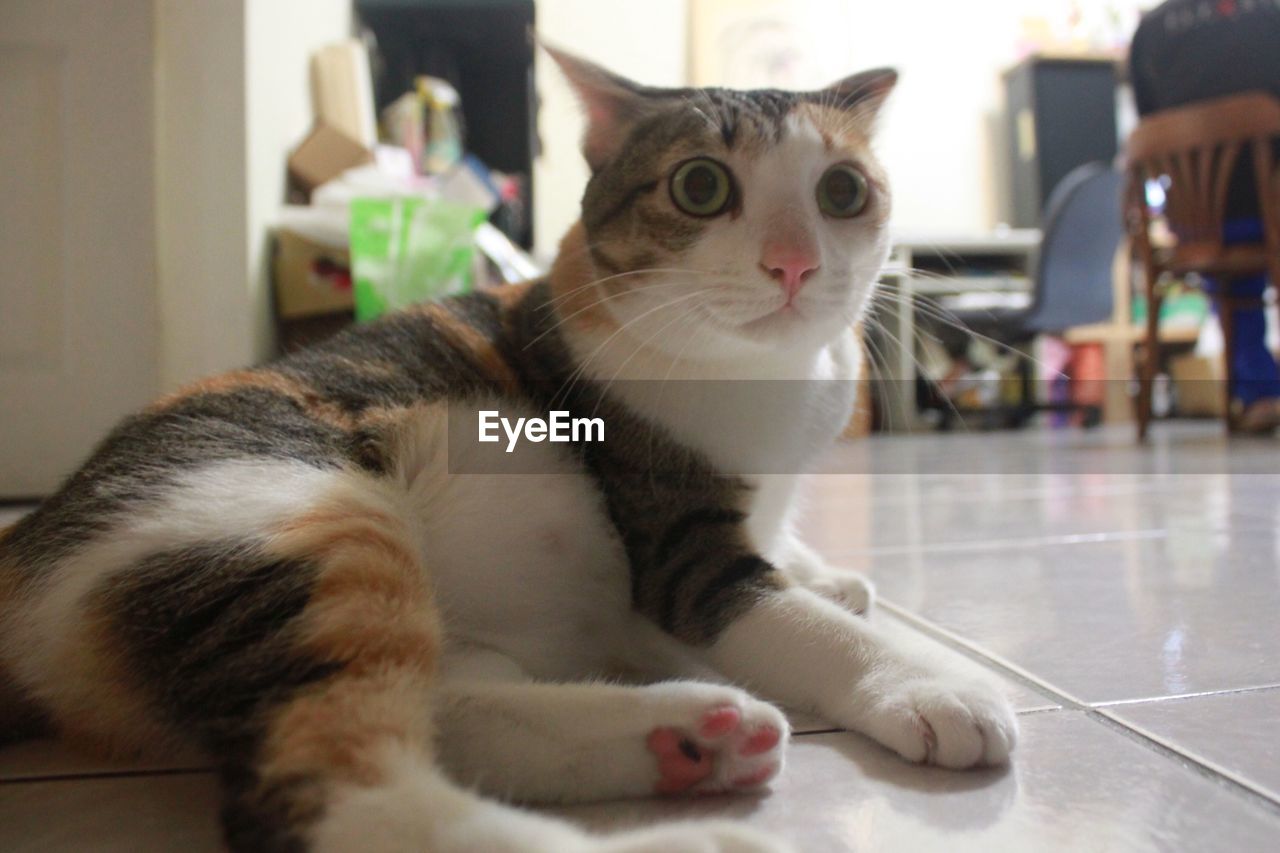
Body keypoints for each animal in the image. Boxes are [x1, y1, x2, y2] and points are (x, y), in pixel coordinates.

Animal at [0, 48, 1018, 850]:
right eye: (701, 187)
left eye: (843, 191)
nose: (794, 262)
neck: (771, 376)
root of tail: (27, 547)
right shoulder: (672, 550)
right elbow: (781, 617)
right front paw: (928, 683)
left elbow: (787, 558)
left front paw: (820, 569)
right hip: (292, 515)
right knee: (337, 789)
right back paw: (693, 835)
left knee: (451, 708)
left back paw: (689, 738)